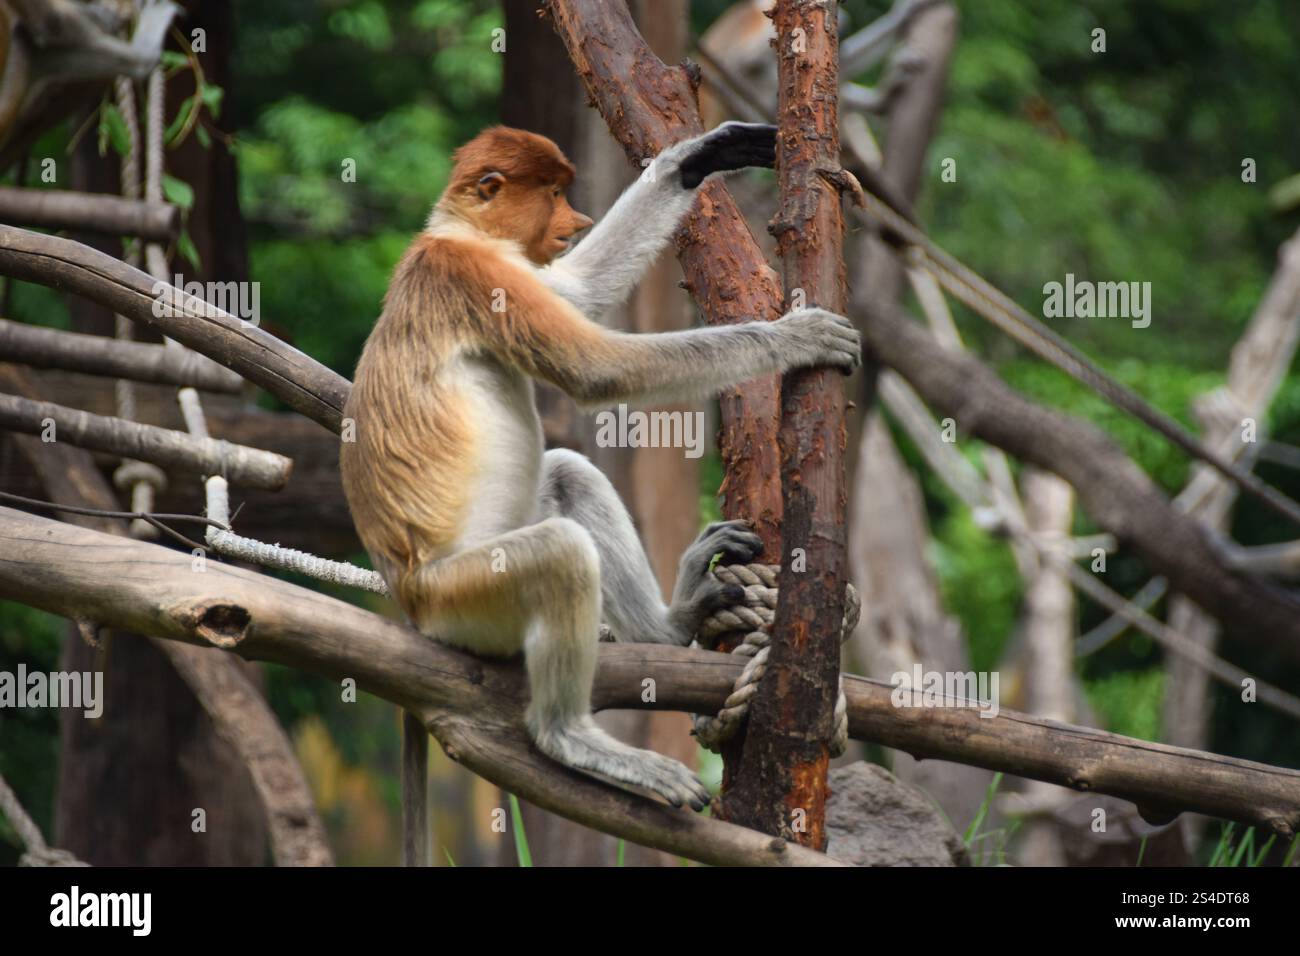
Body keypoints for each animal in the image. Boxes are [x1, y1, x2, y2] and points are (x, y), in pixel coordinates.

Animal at [340, 121, 861, 811]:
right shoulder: (481, 276)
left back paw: (669, 628)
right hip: (462, 596)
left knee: (568, 471)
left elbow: (578, 291)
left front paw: (699, 157)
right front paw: (795, 338)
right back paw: (572, 739)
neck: (460, 233)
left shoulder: (516, 268)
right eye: (554, 194)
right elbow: (598, 368)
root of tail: (409, 603)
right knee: (559, 553)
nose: (576, 220)